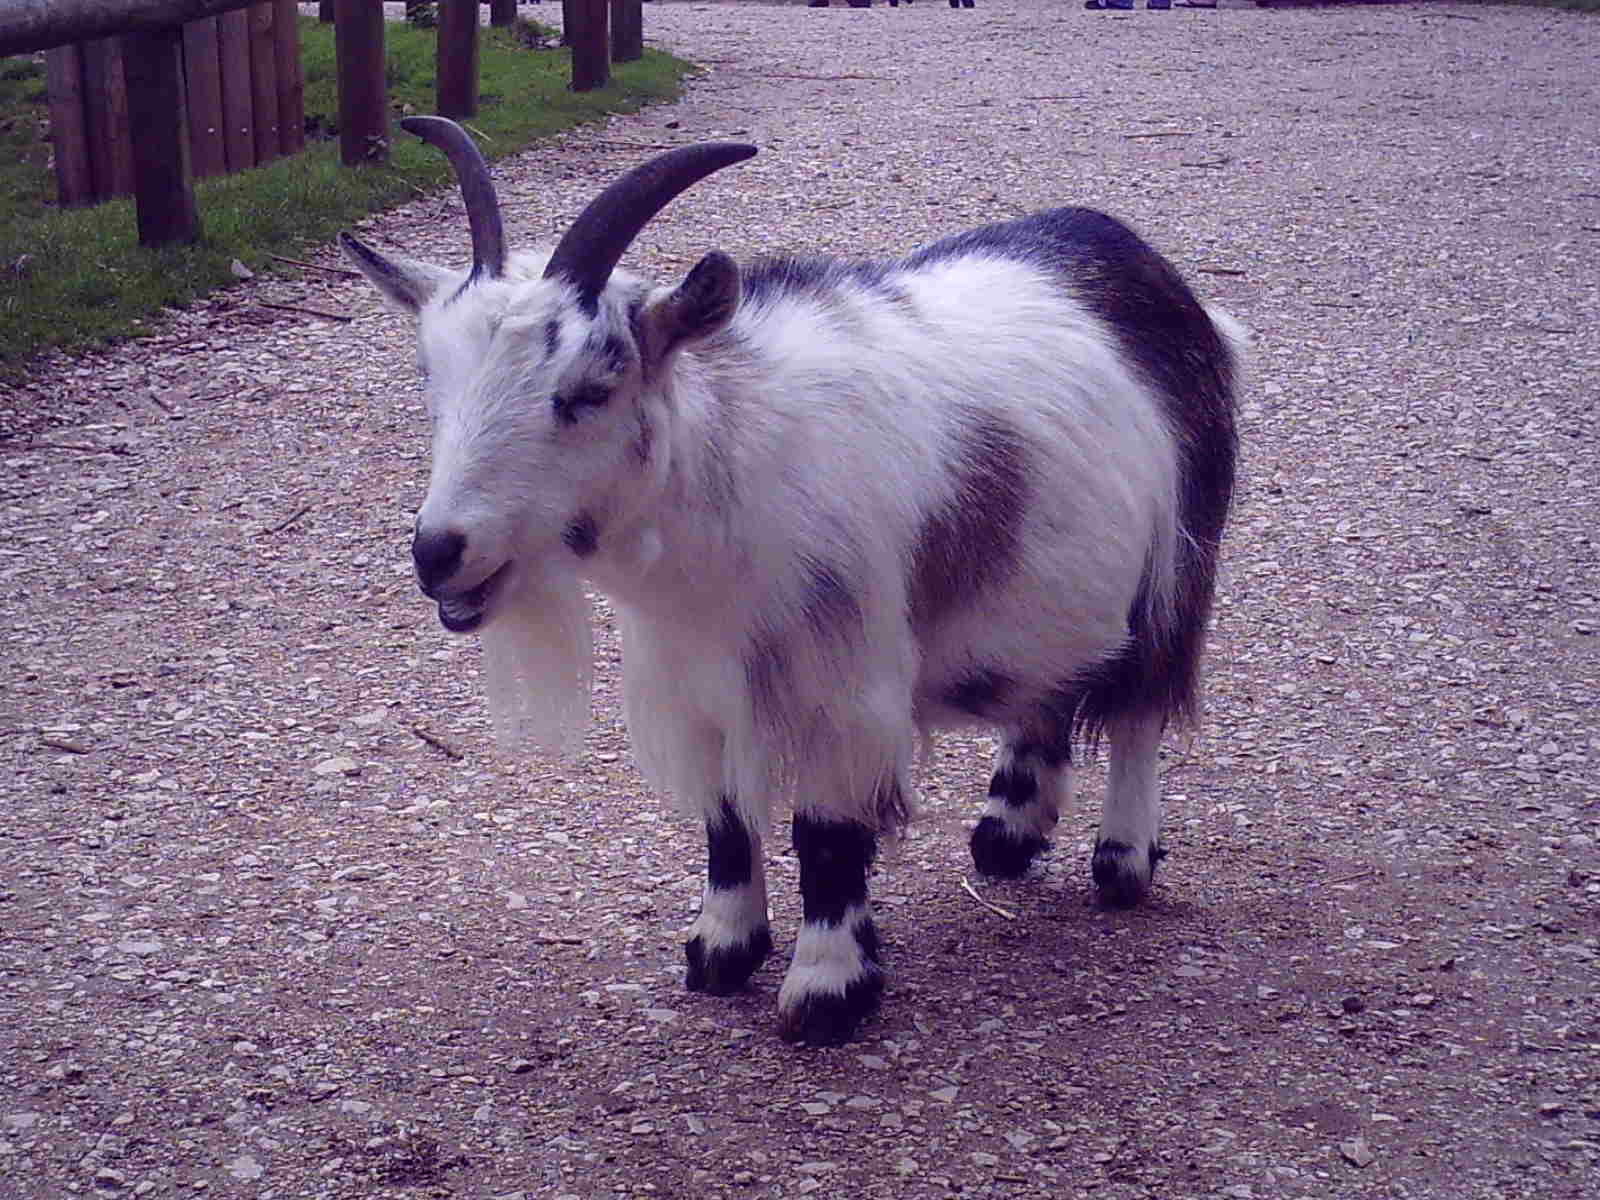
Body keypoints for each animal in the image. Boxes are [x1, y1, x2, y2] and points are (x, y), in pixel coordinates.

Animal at [341, 117, 1242, 1046]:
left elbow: (826, 835)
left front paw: (825, 991)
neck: (729, 470)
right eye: (432, 379)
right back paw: (1007, 833)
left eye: (590, 389)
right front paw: (720, 952)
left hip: (1178, 561)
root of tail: (1137, 260)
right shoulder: (696, 688)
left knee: (1141, 707)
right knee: (1046, 685)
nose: (438, 551)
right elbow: (726, 819)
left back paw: (1121, 862)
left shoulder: (845, 690)